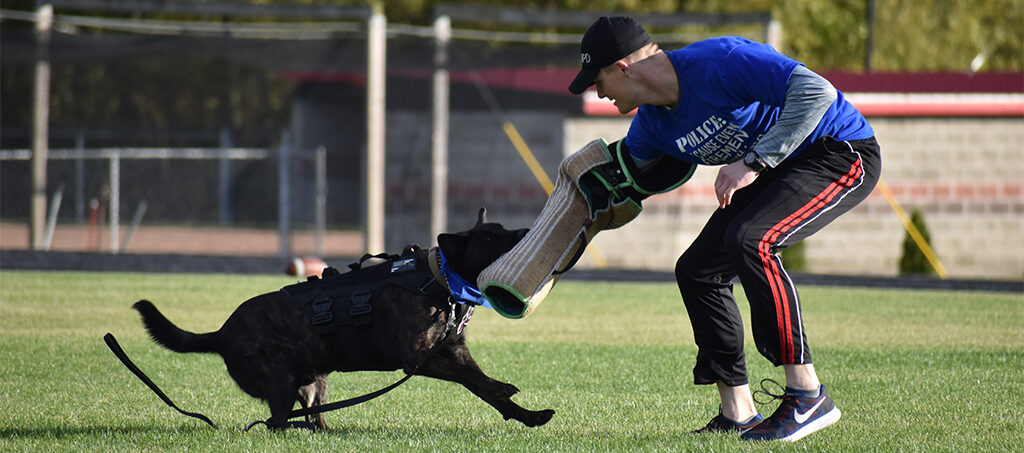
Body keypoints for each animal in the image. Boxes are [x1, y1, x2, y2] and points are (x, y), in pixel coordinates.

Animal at [133, 209, 557, 428]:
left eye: (501, 228)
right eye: (489, 238)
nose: (526, 229)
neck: (440, 279)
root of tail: (220, 332)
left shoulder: (452, 352)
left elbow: (481, 385)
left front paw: (528, 416)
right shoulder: (420, 360)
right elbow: (476, 381)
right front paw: (507, 389)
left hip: (313, 383)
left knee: (310, 417)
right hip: (281, 381)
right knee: (276, 423)